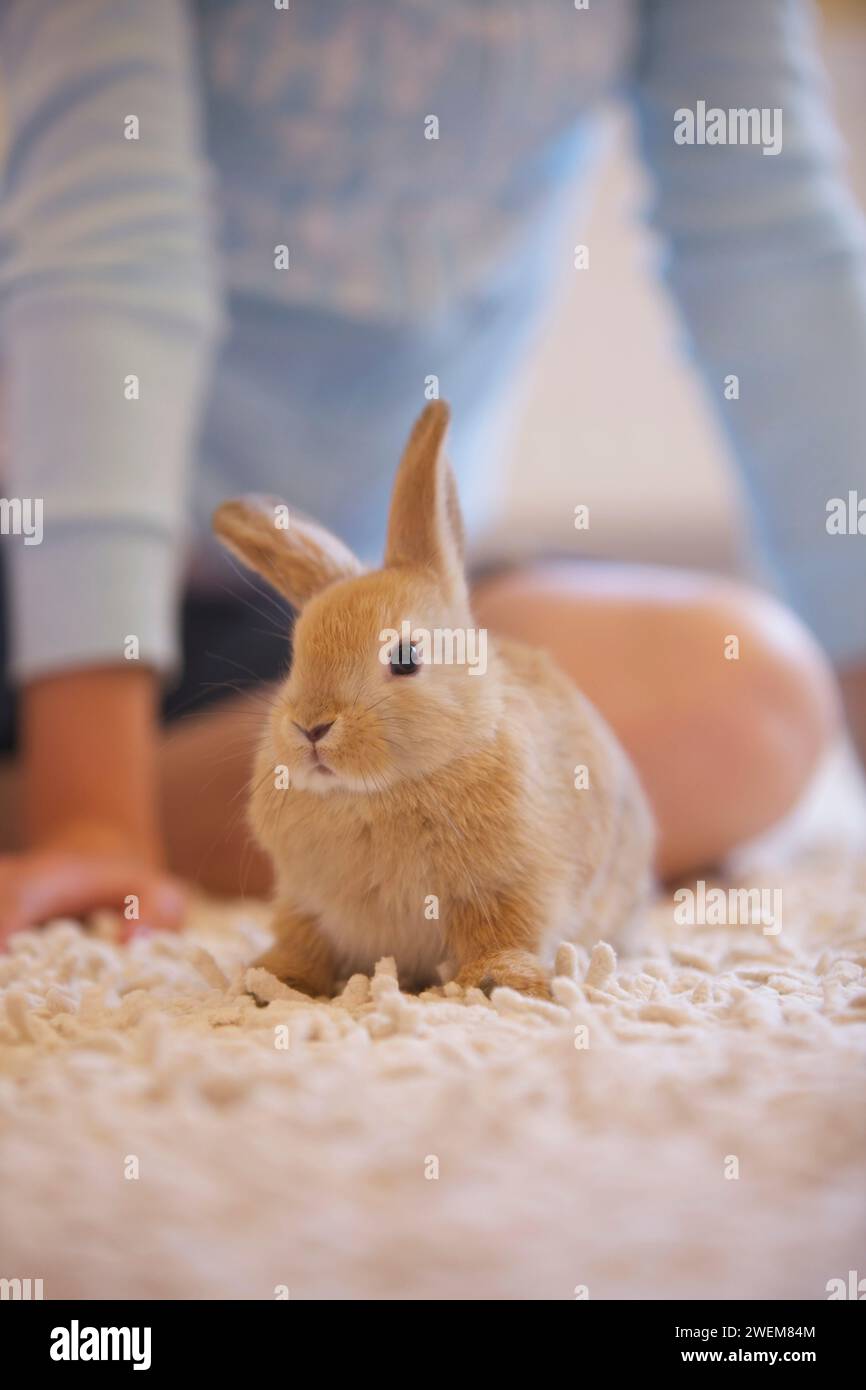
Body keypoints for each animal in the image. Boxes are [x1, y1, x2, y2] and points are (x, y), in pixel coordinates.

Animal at [213, 401, 654, 999]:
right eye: (294, 656)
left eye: (404, 657)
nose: (311, 727)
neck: (375, 793)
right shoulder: (306, 901)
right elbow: (303, 941)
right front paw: (271, 980)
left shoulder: (507, 887)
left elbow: (502, 933)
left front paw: (496, 981)